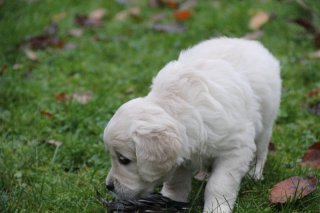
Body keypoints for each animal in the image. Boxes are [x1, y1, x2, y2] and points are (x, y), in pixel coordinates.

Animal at [104, 37, 282, 212]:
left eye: (124, 160)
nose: (108, 186)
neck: (177, 105)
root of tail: (248, 42)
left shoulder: (235, 149)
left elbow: (219, 184)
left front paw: (216, 208)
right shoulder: (183, 154)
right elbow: (176, 182)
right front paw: (171, 200)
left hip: (266, 121)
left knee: (261, 150)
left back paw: (255, 173)